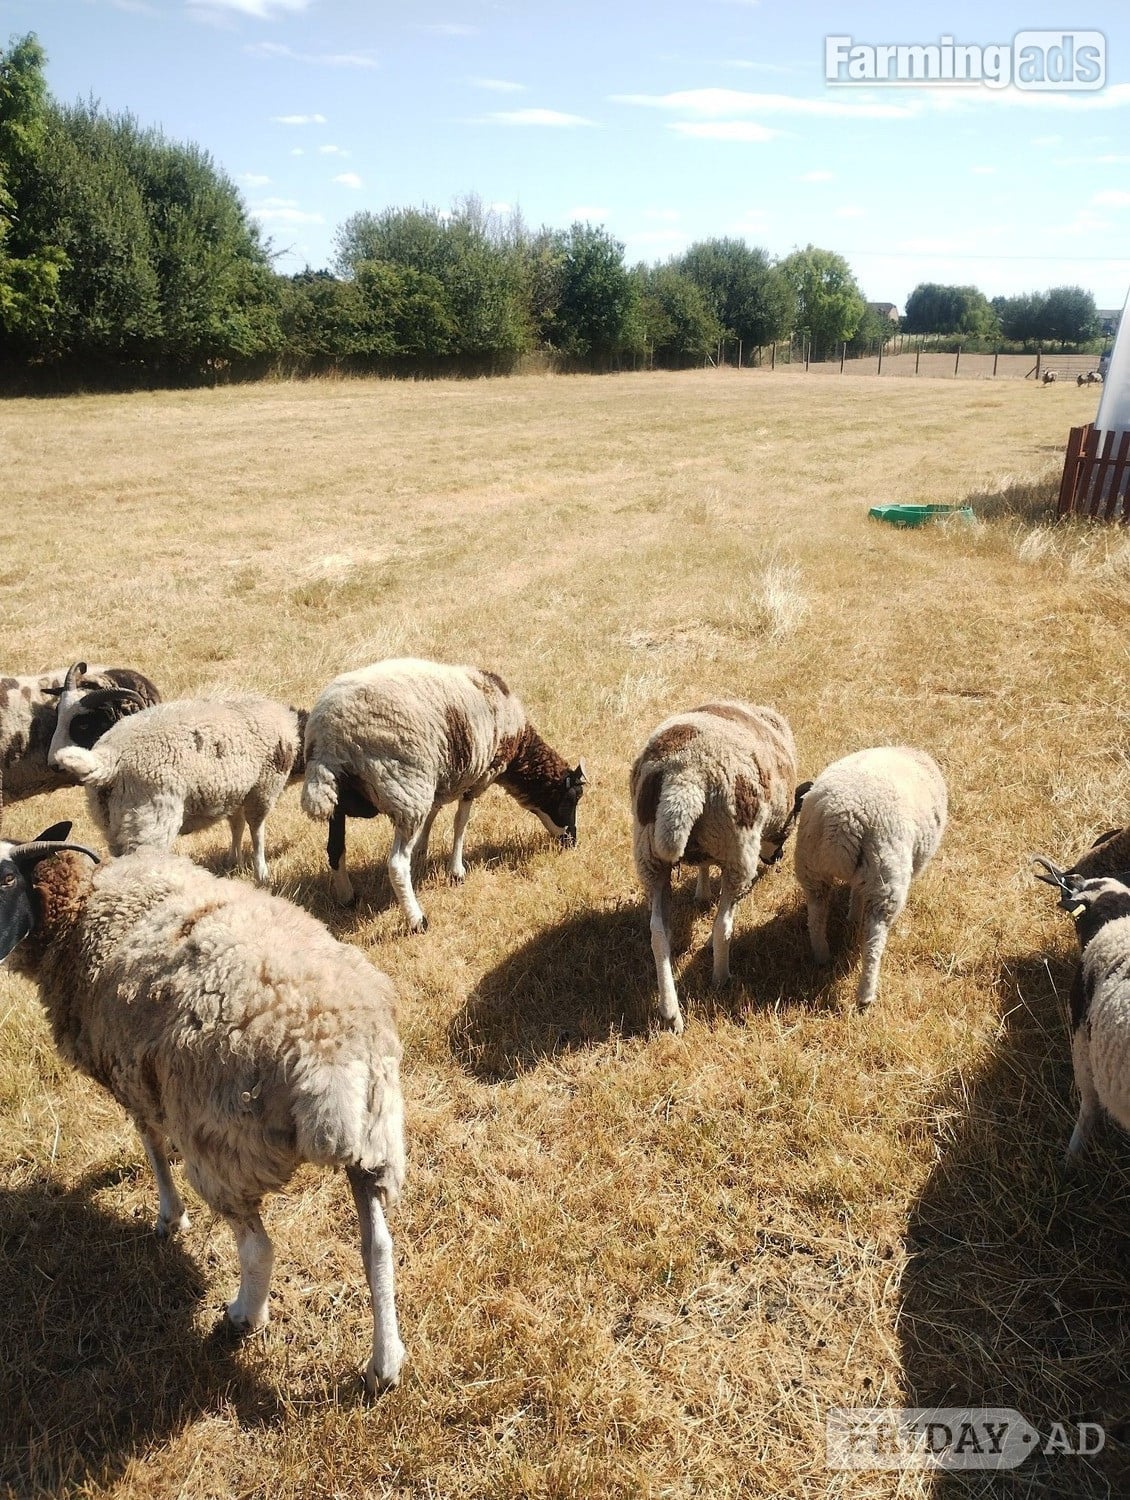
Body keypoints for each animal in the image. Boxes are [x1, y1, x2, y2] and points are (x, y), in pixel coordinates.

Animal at [0, 823, 407, 1394]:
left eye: (5, 880)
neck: (81, 908)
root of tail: (328, 1055)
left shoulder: (132, 1074)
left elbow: (151, 1146)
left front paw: (170, 1217)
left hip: (224, 1147)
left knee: (258, 1248)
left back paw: (243, 1317)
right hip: (375, 1139)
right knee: (378, 1247)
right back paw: (384, 1364)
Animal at [48, 670, 306, 883]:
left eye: (81, 724)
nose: (52, 764)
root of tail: (108, 759)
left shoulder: (238, 791)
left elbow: (236, 825)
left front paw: (234, 862)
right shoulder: (263, 787)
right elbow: (257, 830)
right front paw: (261, 873)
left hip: (112, 825)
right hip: (151, 822)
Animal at [301, 658, 585, 932]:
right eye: (572, 799)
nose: (573, 842)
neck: (518, 747)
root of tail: (329, 741)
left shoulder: (441, 779)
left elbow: (434, 814)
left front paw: (423, 849)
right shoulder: (477, 776)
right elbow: (460, 823)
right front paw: (456, 871)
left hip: (342, 800)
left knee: (335, 849)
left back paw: (347, 898)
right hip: (406, 791)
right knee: (396, 864)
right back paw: (417, 920)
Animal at [630, 701, 803, 1035]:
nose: (776, 859)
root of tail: (683, 777)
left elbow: (703, 867)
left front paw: (701, 891)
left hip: (650, 856)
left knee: (658, 932)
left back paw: (670, 1012)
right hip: (738, 848)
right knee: (723, 925)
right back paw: (721, 978)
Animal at [793, 746, 947, 1008]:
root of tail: (842, 817)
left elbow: (855, 892)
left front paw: (853, 915)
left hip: (811, 867)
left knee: (816, 917)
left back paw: (822, 955)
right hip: (886, 875)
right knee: (874, 942)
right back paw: (866, 994)